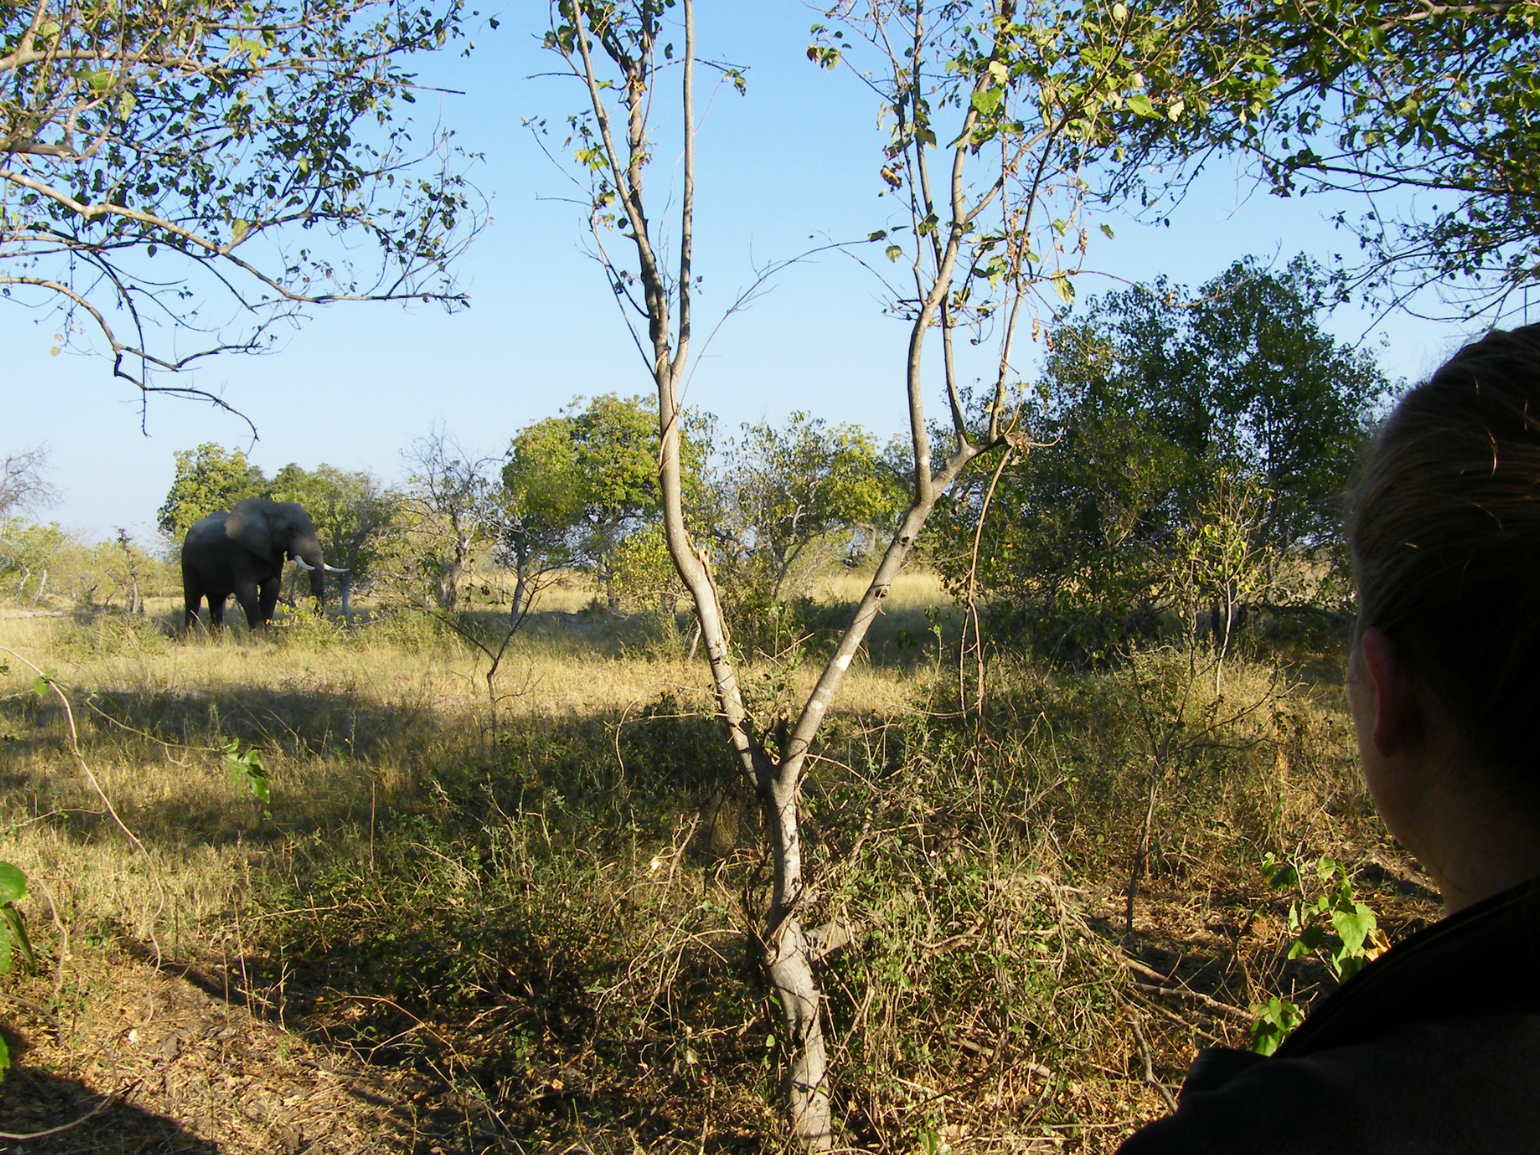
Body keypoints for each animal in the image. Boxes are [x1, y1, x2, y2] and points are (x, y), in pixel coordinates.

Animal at [181, 498, 348, 634]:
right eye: (290, 530)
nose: (317, 624)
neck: (272, 510)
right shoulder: (240, 553)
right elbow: (246, 592)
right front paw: (259, 639)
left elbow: (271, 590)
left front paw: (267, 636)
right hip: (187, 560)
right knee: (193, 598)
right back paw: (189, 638)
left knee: (216, 601)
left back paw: (218, 640)